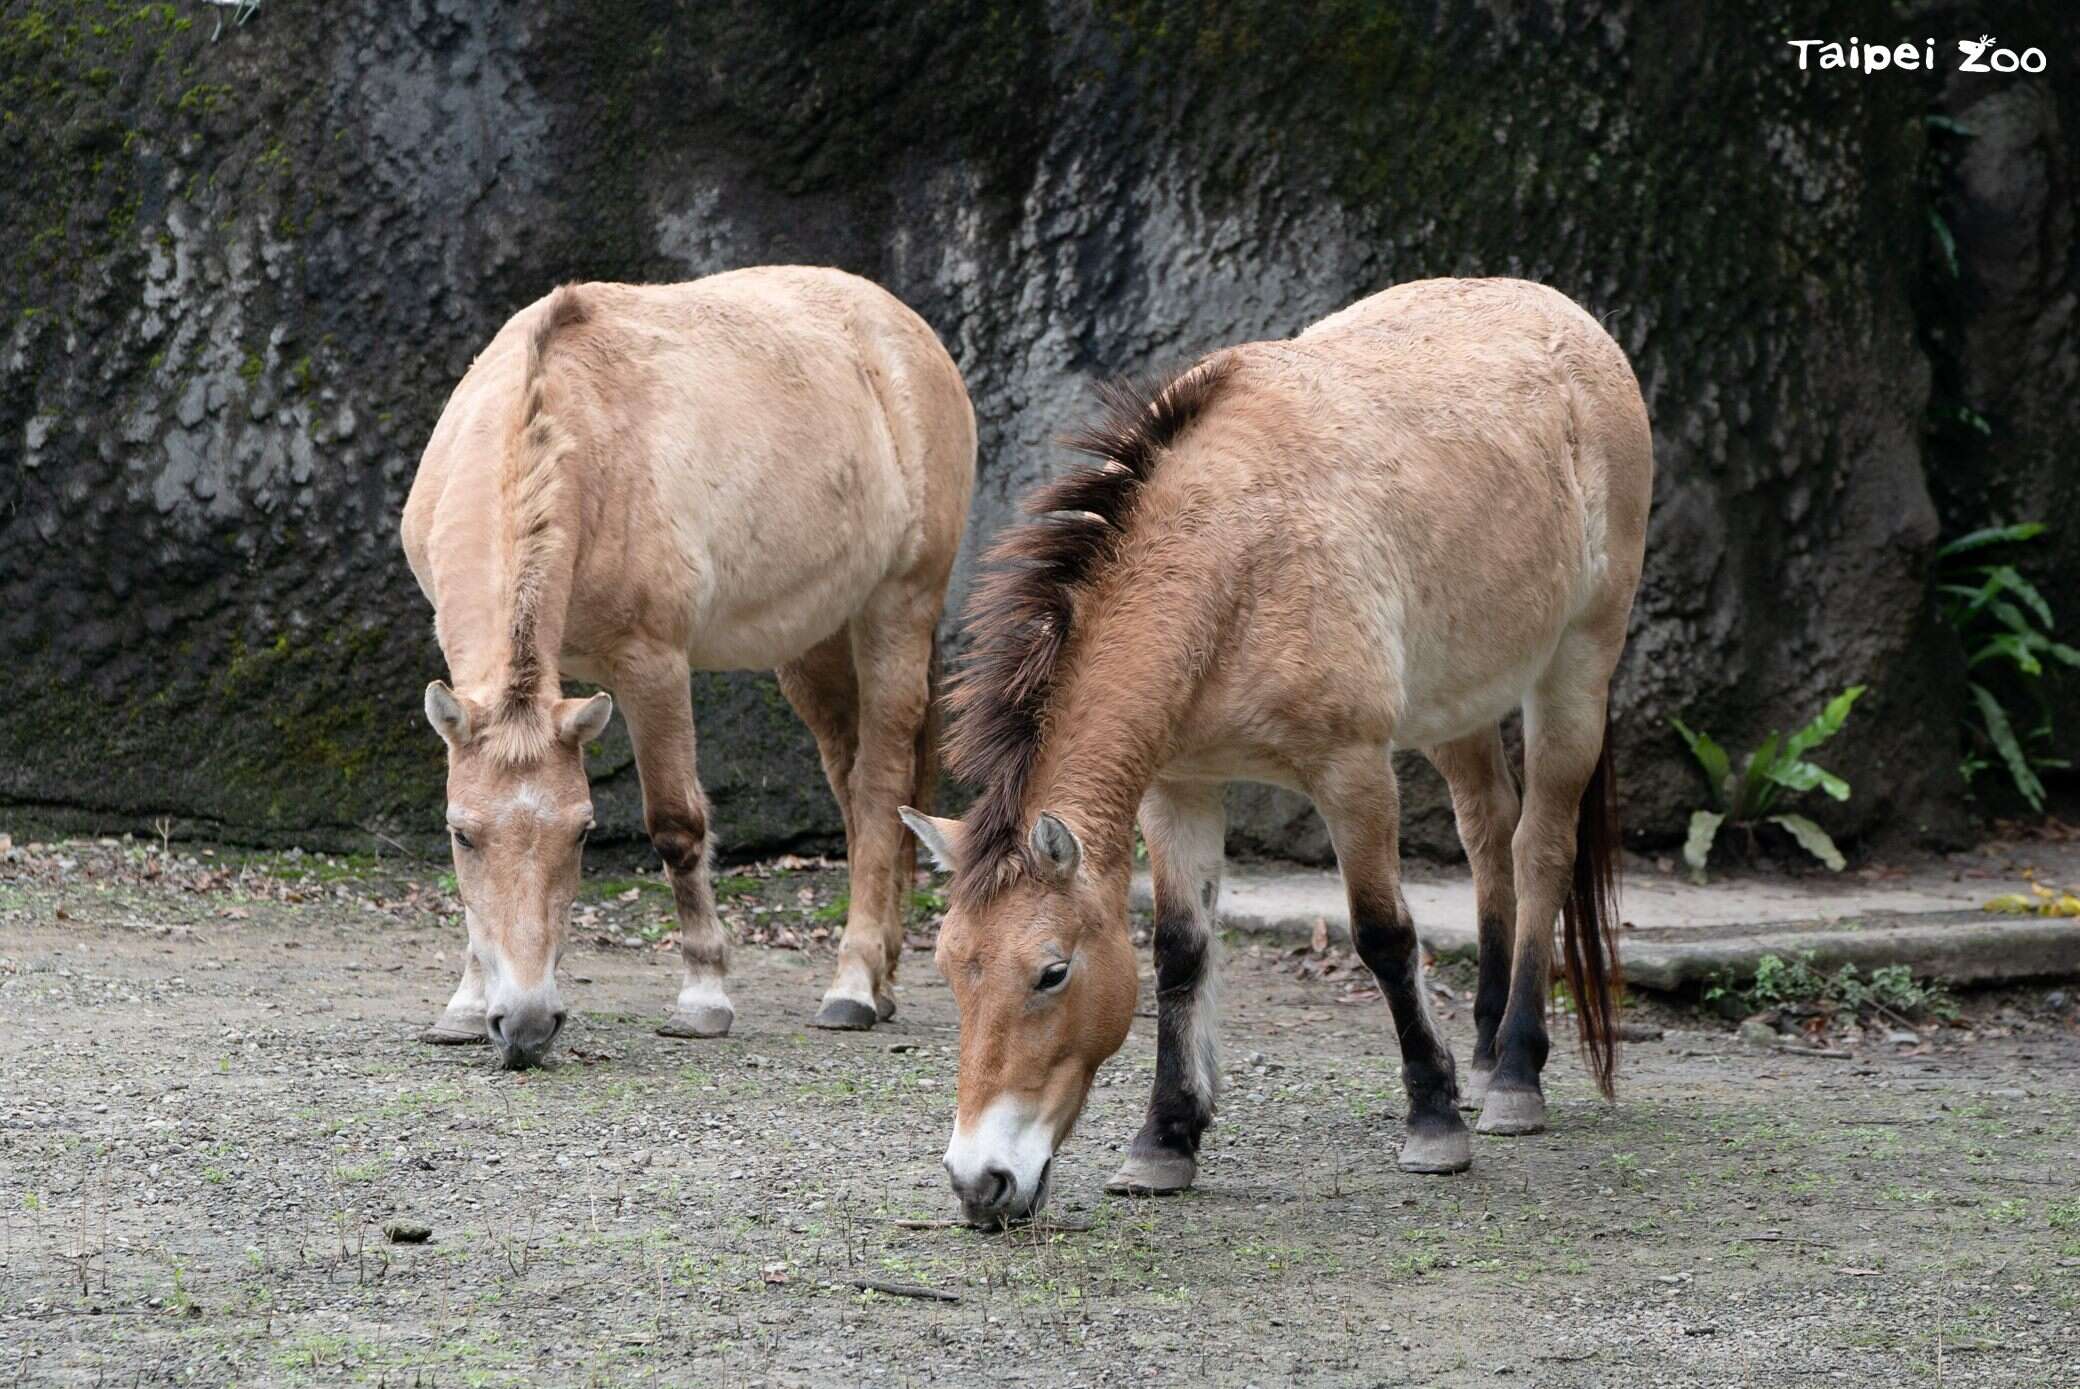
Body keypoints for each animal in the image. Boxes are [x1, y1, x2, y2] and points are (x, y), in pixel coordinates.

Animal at [402, 266, 975, 1068]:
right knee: (854, 782)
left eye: (583, 832)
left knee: (881, 781)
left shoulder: (653, 666)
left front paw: (704, 998)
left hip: (896, 610)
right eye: (462, 835)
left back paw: (855, 986)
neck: (575, 432)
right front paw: (463, 1002)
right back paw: (883, 979)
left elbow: (676, 823)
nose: (525, 1026)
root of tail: (904, 330)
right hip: (813, 643)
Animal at [899, 277, 1651, 1224]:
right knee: (1489, 834)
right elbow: (1181, 950)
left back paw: (1514, 1075)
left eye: (1052, 972)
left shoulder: (1352, 771)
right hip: (1459, 705)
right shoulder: (1178, 787)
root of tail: (1572, 321)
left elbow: (1384, 935)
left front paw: (1434, 1122)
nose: (980, 1183)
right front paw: (1165, 1139)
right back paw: (1483, 1054)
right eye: (950, 969)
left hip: (1577, 666)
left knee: (1540, 845)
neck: (1232, 557)